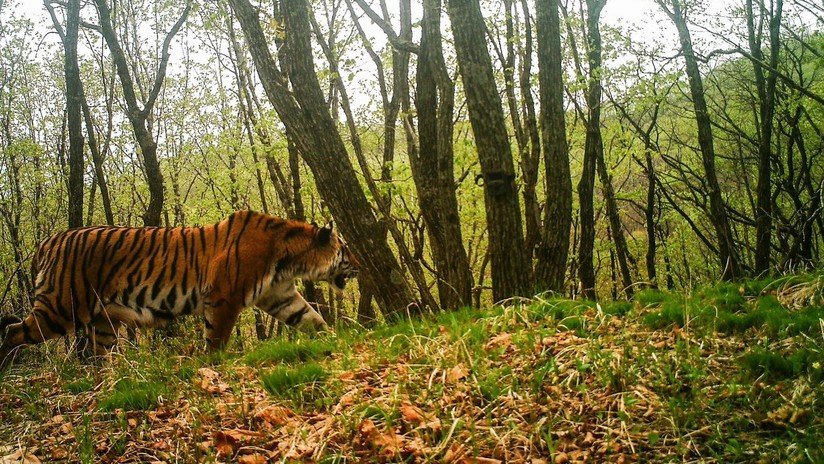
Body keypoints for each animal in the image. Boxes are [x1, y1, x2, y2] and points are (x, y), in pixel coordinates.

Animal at [0, 210, 358, 370]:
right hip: (61, 307)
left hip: (103, 320)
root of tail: (48, 241)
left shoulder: (280, 295)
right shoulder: (223, 298)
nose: (359, 265)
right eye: (346, 249)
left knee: (100, 355)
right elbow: (216, 339)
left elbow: (311, 319)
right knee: (13, 331)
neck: (289, 259)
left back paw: (110, 381)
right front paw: (213, 367)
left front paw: (336, 342)